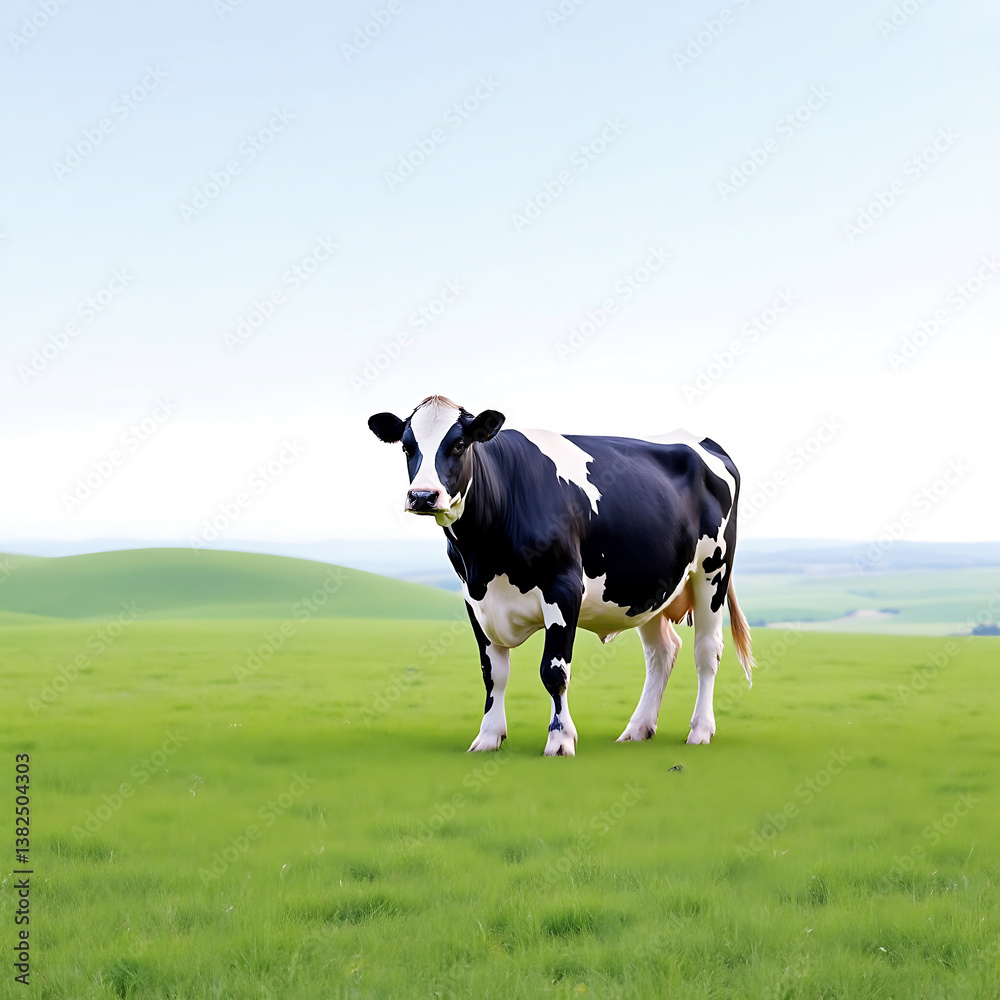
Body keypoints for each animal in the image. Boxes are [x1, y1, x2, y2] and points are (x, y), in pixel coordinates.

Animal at [368, 395, 755, 757]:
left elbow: (554, 671)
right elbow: (493, 673)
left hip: (713, 571)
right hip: (649, 588)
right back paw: (637, 729)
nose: (422, 495)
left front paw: (560, 740)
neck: (486, 557)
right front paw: (488, 737)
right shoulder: (474, 598)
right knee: (662, 652)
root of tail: (705, 442)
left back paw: (700, 731)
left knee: (707, 651)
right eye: (407, 446)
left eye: (459, 444)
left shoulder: (564, 586)